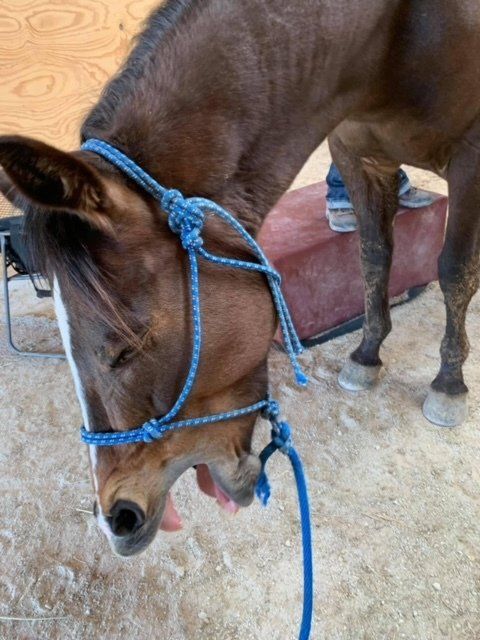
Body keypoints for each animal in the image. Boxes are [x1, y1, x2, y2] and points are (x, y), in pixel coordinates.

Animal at [1, 0, 480, 556]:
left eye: (124, 349)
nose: (115, 519)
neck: (395, 36)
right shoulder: (357, 152)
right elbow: (374, 254)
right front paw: (367, 354)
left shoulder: (471, 159)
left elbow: (454, 270)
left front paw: (449, 383)